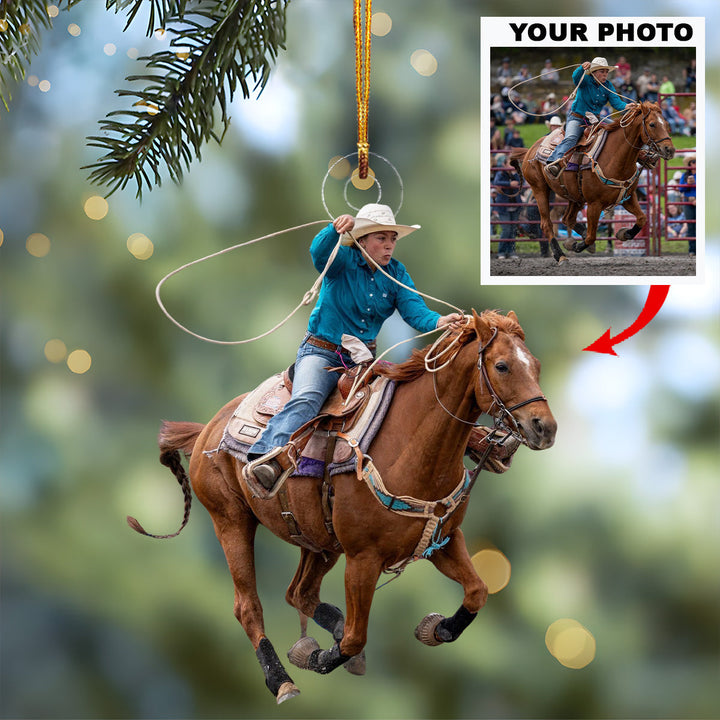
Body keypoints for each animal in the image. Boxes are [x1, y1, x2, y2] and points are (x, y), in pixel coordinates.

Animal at [127, 310, 557, 703]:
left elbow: (477, 591)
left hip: (318, 540)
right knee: (249, 606)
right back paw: (282, 681)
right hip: (231, 521)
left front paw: (434, 628)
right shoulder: (363, 558)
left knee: (299, 593)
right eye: (501, 365)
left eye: (535, 365)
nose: (545, 428)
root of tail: (206, 430)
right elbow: (354, 637)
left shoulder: (445, 540)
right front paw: (316, 656)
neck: (411, 447)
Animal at [510, 101, 675, 263]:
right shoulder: (594, 204)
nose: (670, 150)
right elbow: (591, 236)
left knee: (567, 218)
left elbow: (642, 218)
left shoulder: (628, 197)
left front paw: (624, 234)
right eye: (652, 124)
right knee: (547, 224)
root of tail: (530, 150)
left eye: (666, 124)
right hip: (540, 189)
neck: (615, 157)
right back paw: (560, 255)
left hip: (574, 196)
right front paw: (578, 246)